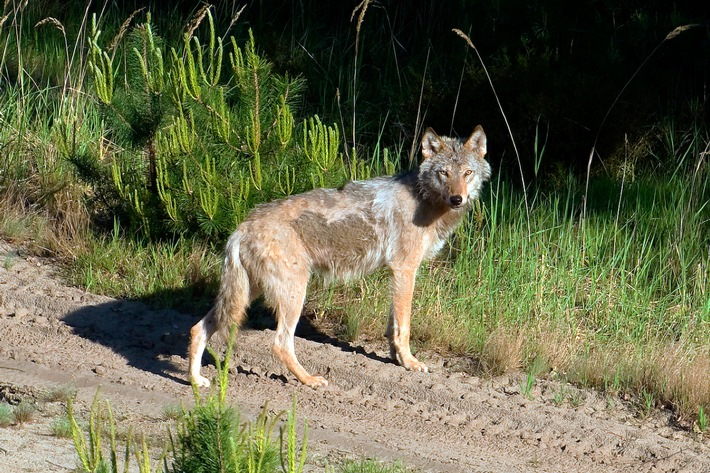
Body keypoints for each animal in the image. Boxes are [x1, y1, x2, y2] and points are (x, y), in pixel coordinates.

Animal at [188, 125, 490, 388]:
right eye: (444, 173)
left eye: (467, 173)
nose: (457, 199)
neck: (423, 199)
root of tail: (241, 228)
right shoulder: (405, 269)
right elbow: (404, 326)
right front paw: (410, 363)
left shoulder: (396, 274)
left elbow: (393, 325)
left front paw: (396, 358)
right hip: (293, 294)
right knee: (280, 344)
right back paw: (310, 380)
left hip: (247, 295)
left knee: (197, 329)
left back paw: (195, 380)